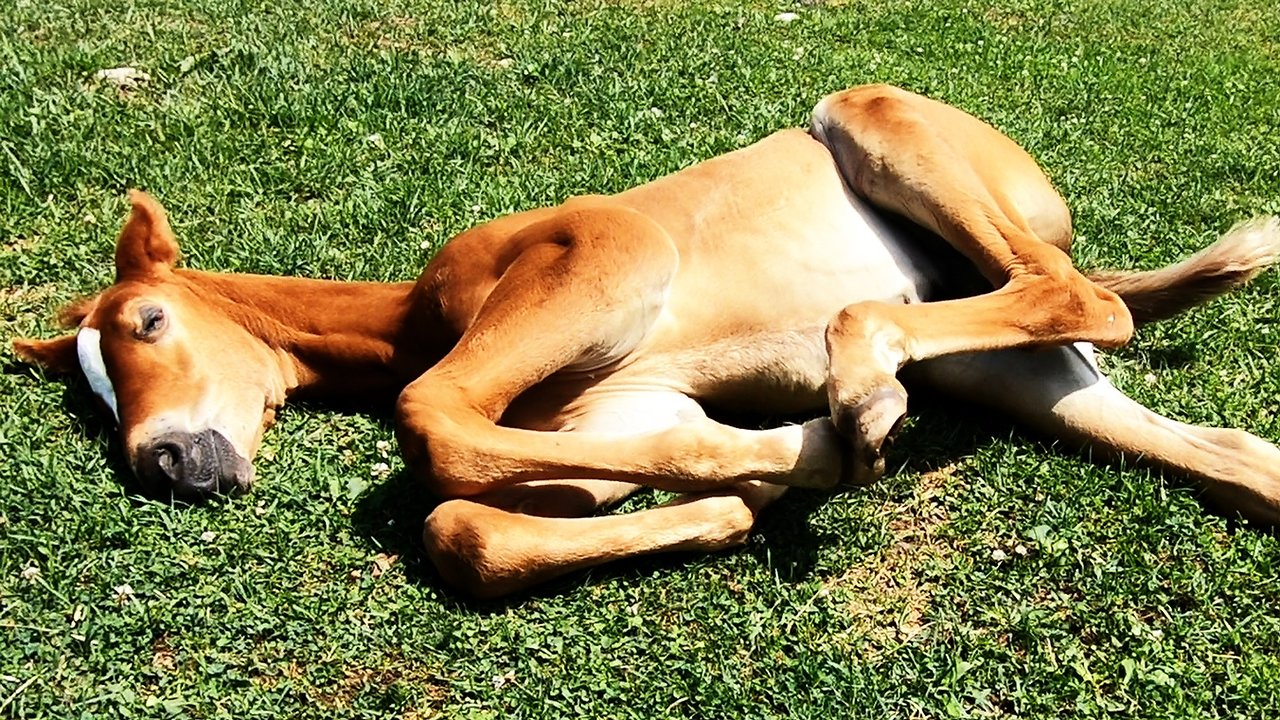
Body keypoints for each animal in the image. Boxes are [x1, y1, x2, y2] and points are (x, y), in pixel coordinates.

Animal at [12, 83, 1280, 597]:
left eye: (148, 321)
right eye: (91, 395)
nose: (164, 463)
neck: (417, 312)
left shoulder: (598, 260)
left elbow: (432, 428)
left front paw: (804, 451)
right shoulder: (617, 422)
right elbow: (467, 525)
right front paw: (757, 480)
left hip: (873, 125)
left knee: (1079, 295)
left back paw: (864, 382)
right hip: (1018, 375)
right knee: (1227, 449)